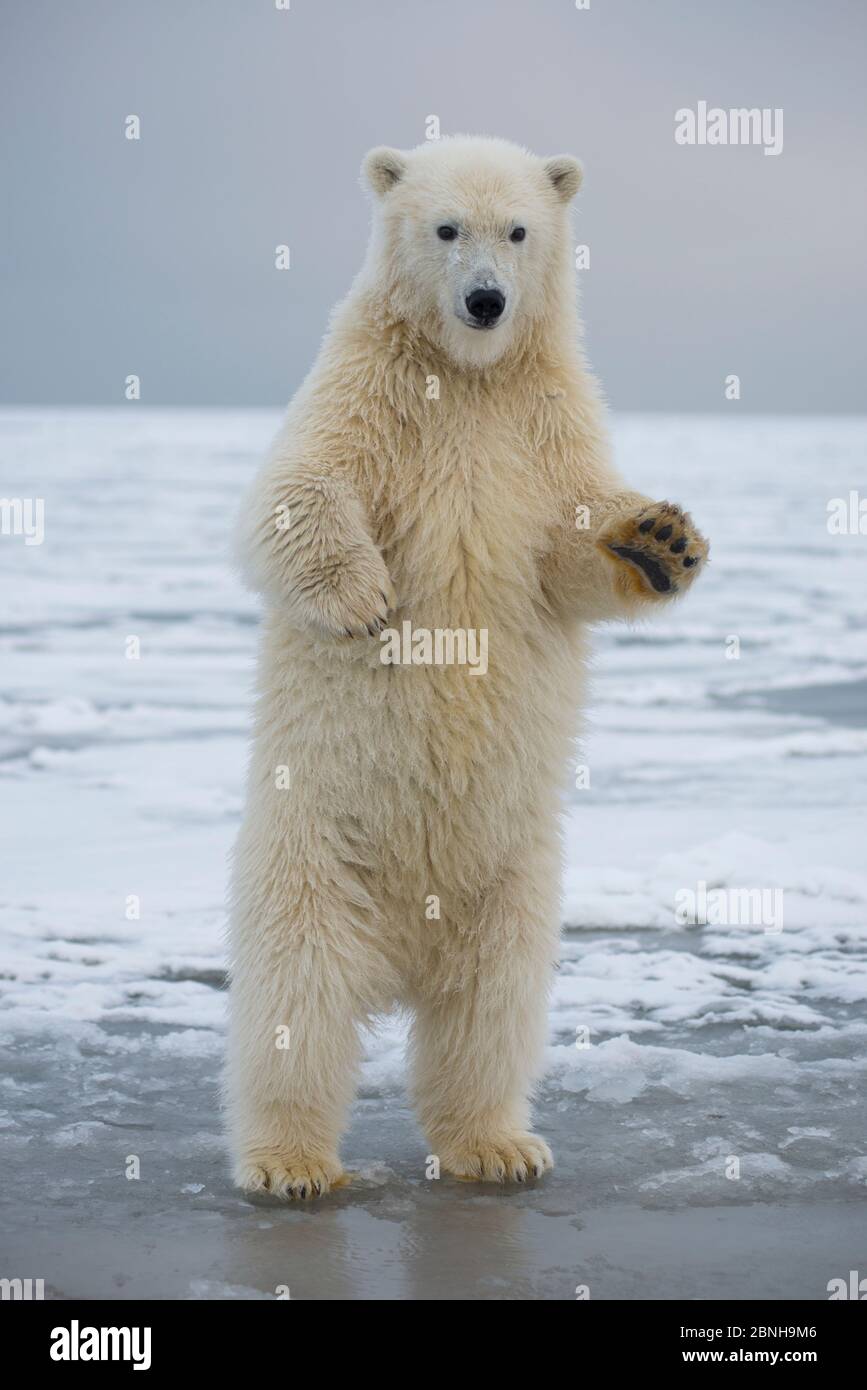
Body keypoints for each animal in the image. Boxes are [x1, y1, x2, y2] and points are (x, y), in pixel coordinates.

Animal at [226, 135, 708, 1195]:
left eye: (518, 230)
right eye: (447, 228)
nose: (486, 300)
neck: (469, 374)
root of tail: (403, 955)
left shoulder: (544, 416)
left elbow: (571, 546)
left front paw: (660, 541)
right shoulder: (368, 388)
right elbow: (299, 488)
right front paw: (364, 600)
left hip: (515, 875)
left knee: (491, 1010)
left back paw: (496, 1143)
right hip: (313, 846)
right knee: (296, 1001)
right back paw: (292, 1160)